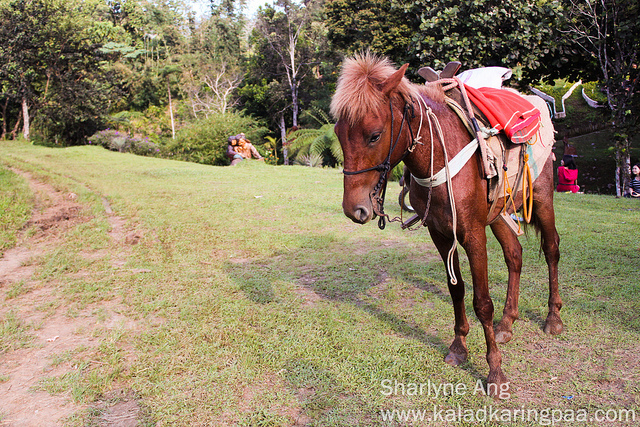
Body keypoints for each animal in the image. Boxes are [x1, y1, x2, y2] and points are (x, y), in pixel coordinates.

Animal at [332, 53, 564, 398]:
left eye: (374, 135)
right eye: (338, 133)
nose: (354, 209)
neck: (439, 154)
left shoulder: (473, 234)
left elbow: (482, 302)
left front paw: (495, 370)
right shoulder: (440, 234)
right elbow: (457, 290)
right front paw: (458, 346)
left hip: (542, 199)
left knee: (551, 249)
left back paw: (553, 317)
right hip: (499, 214)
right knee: (515, 255)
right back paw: (508, 323)